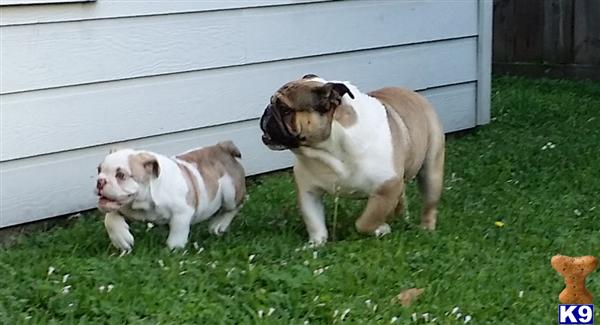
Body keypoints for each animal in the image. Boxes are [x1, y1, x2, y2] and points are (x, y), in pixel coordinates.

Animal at [95, 140, 245, 249]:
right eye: (99, 170)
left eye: (121, 175)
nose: (100, 181)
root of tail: (222, 147)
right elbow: (109, 219)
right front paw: (121, 239)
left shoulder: (182, 212)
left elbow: (178, 230)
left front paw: (174, 248)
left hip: (231, 193)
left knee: (235, 206)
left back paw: (219, 224)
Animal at [260, 74, 442, 244]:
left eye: (285, 109)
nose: (267, 111)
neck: (329, 151)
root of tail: (415, 95)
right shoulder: (308, 192)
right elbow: (314, 221)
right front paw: (316, 244)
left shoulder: (386, 188)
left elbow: (365, 222)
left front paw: (381, 228)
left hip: (431, 173)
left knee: (429, 203)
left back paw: (426, 229)